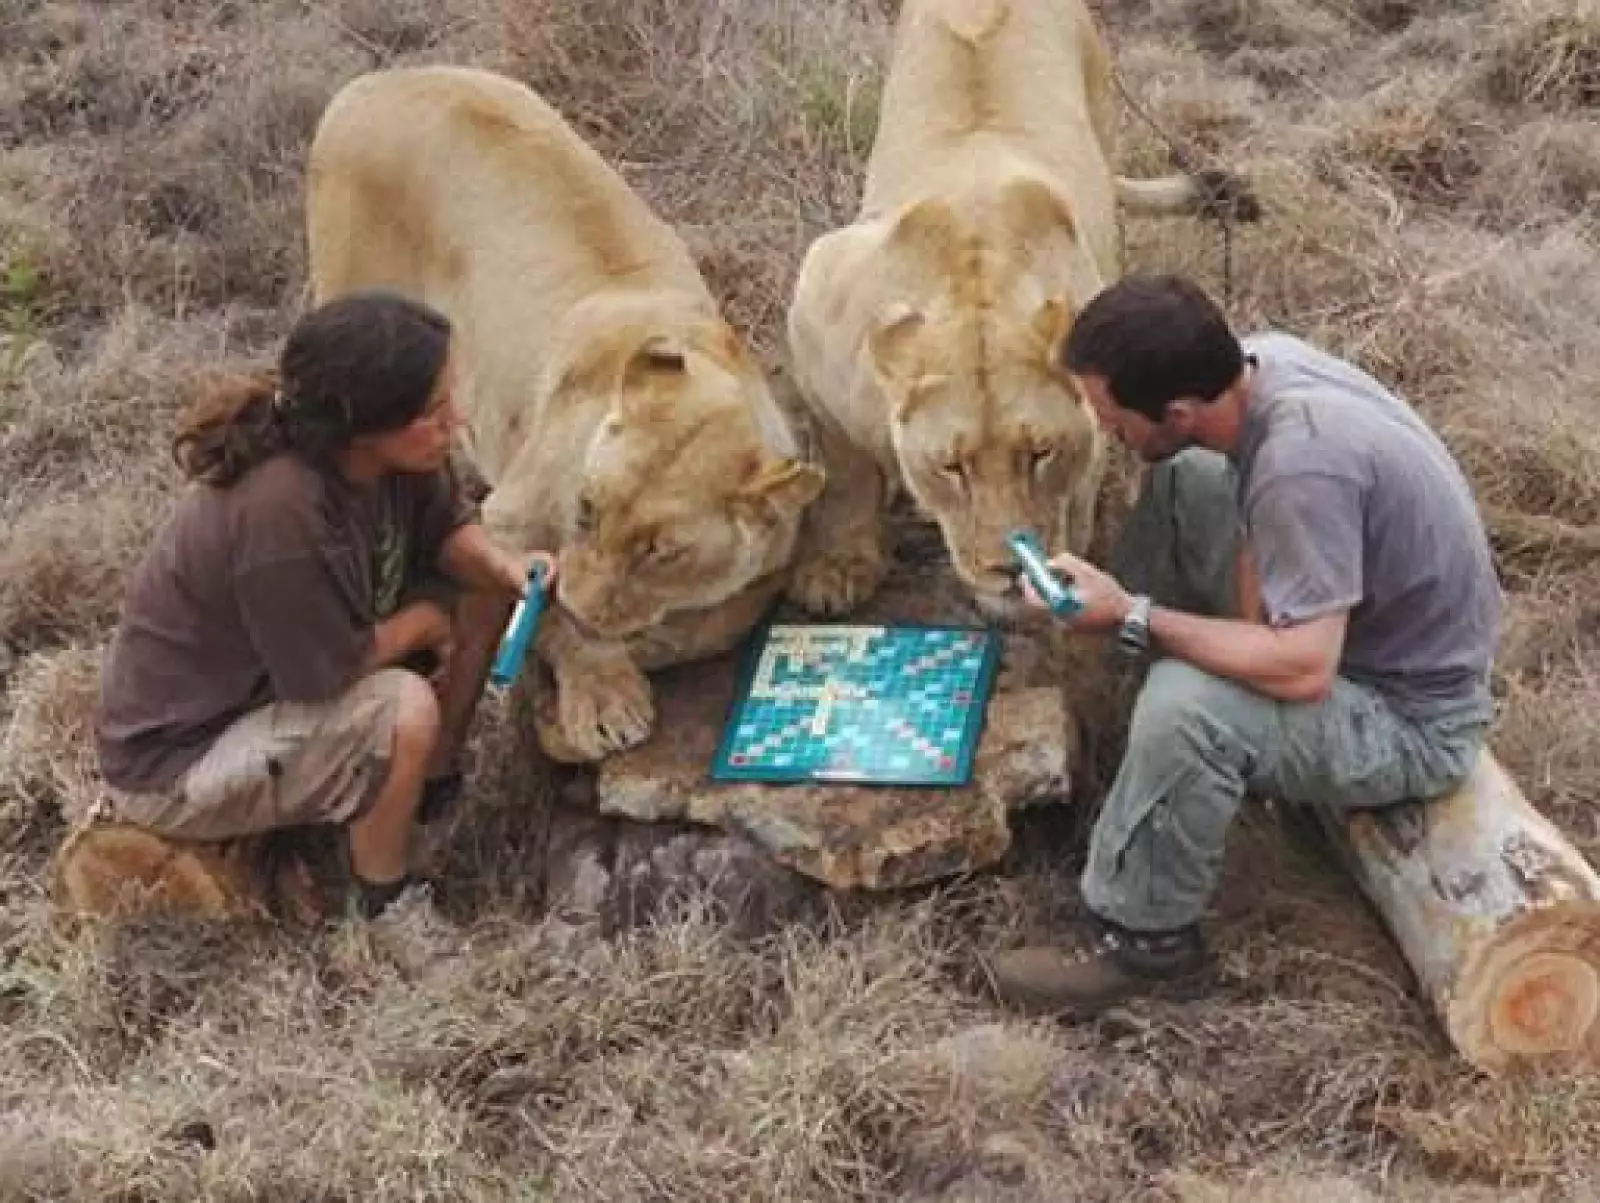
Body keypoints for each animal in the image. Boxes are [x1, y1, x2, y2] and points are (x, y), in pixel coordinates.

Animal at [305, 66, 825, 762]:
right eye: (585, 508)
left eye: (659, 552)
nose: (581, 598)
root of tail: (371, 80)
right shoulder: (506, 518)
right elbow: (547, 613)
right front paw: (601, 698)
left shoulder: (776, 563)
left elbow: (713, 624)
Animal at [785, 0, 1258, 620]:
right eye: (951, 467)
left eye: (1041, 453)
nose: (1008, 571)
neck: (975, 282)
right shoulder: (816, 311)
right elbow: (843, 471)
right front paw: (839, 565)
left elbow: (1077, 508)